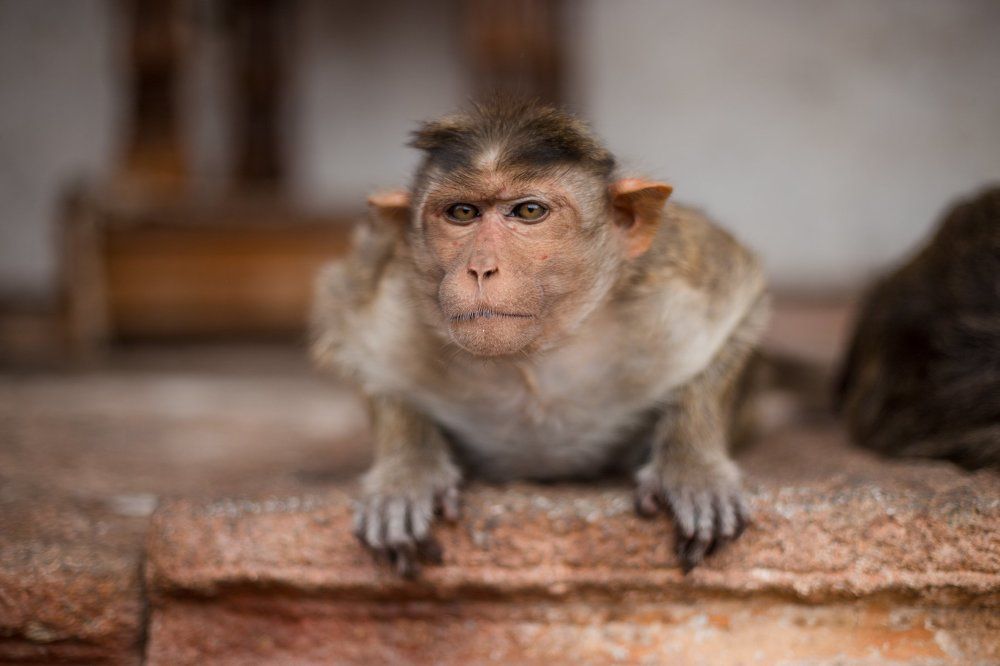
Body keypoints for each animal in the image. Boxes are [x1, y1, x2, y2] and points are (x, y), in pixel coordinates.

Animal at [311, 98, 769, 576]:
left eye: (528, 212)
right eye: (462, 213)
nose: (481, 268)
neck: (531, 359)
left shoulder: (678, 291)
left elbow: (742, 303)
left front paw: (691, 464)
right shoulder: (385, 302)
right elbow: (346, 333)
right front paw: (407, 469)